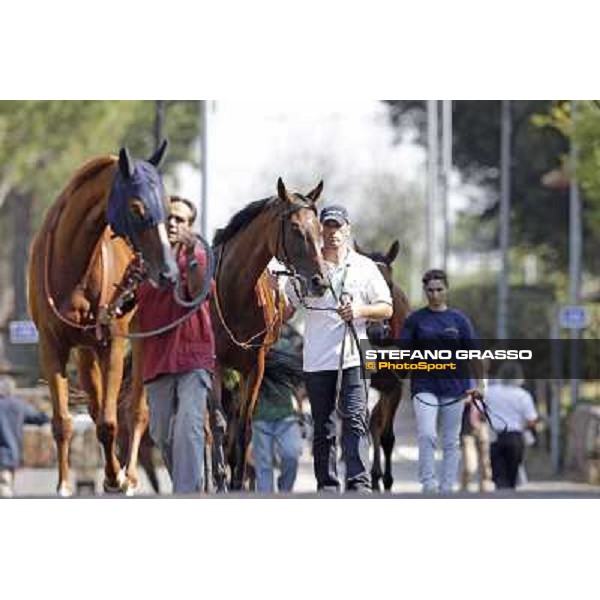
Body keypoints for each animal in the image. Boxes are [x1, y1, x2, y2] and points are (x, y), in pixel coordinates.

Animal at [27, 142, 177, 496]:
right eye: (136, 207)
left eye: (166, 205)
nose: (167, 272)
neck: (72, 265)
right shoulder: (51, 345)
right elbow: (63, 421)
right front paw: (64, 484)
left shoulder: (113, 343)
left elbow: (111, 421)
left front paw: (115, 476)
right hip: (84, 350)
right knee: (96, 407)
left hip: (141, 337)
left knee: (136, 411)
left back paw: (129, 475)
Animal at [213, 178, 330, 488]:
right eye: (296, 229)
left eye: (319, 229)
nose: (321, 281)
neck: (235, 293)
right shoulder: (214, 364)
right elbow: (215, 423)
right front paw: (218, 478)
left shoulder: (255, 366)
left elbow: (243, 430)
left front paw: (236, 483)